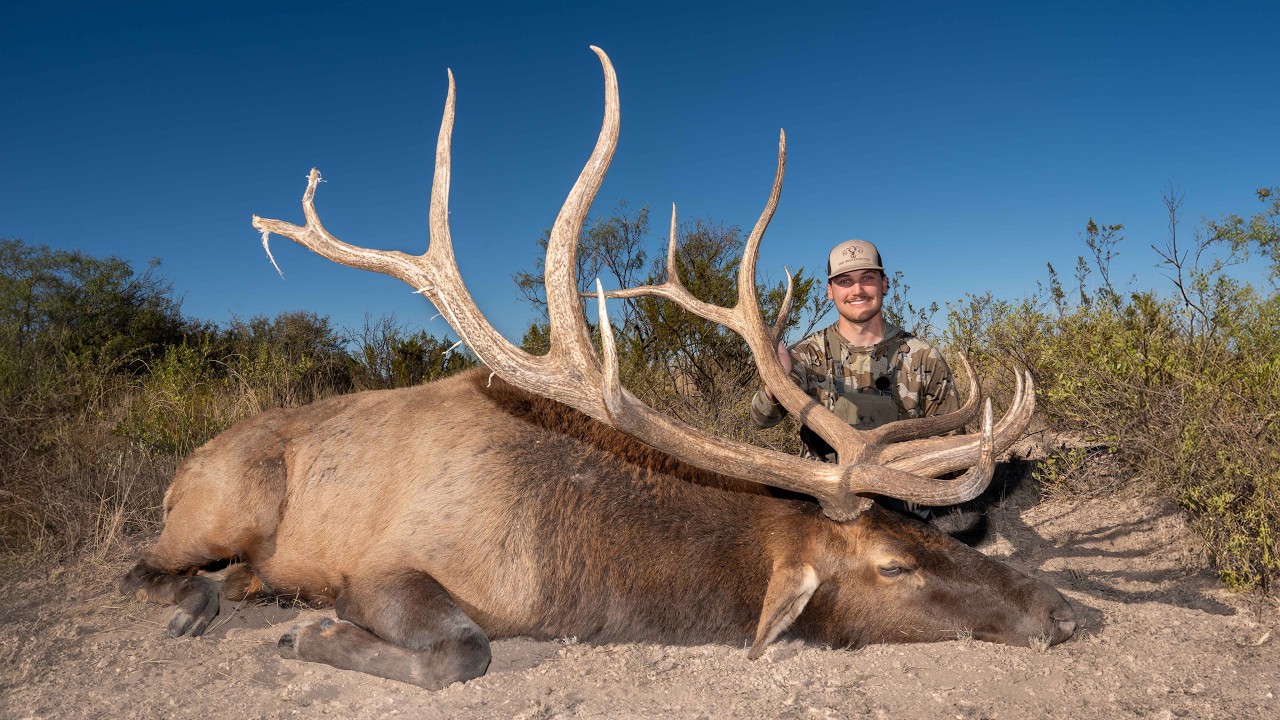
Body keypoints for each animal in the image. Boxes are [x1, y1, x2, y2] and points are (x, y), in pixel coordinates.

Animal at [120, 47, 1076, 691]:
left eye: (929, 536)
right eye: (892, 566)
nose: (1061, 610)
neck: (580, 572)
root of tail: (179, 470)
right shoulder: (387, 563)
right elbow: (463, 649)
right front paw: (312, 638)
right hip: (223, 504)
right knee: (145, 565)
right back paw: (200, 605)